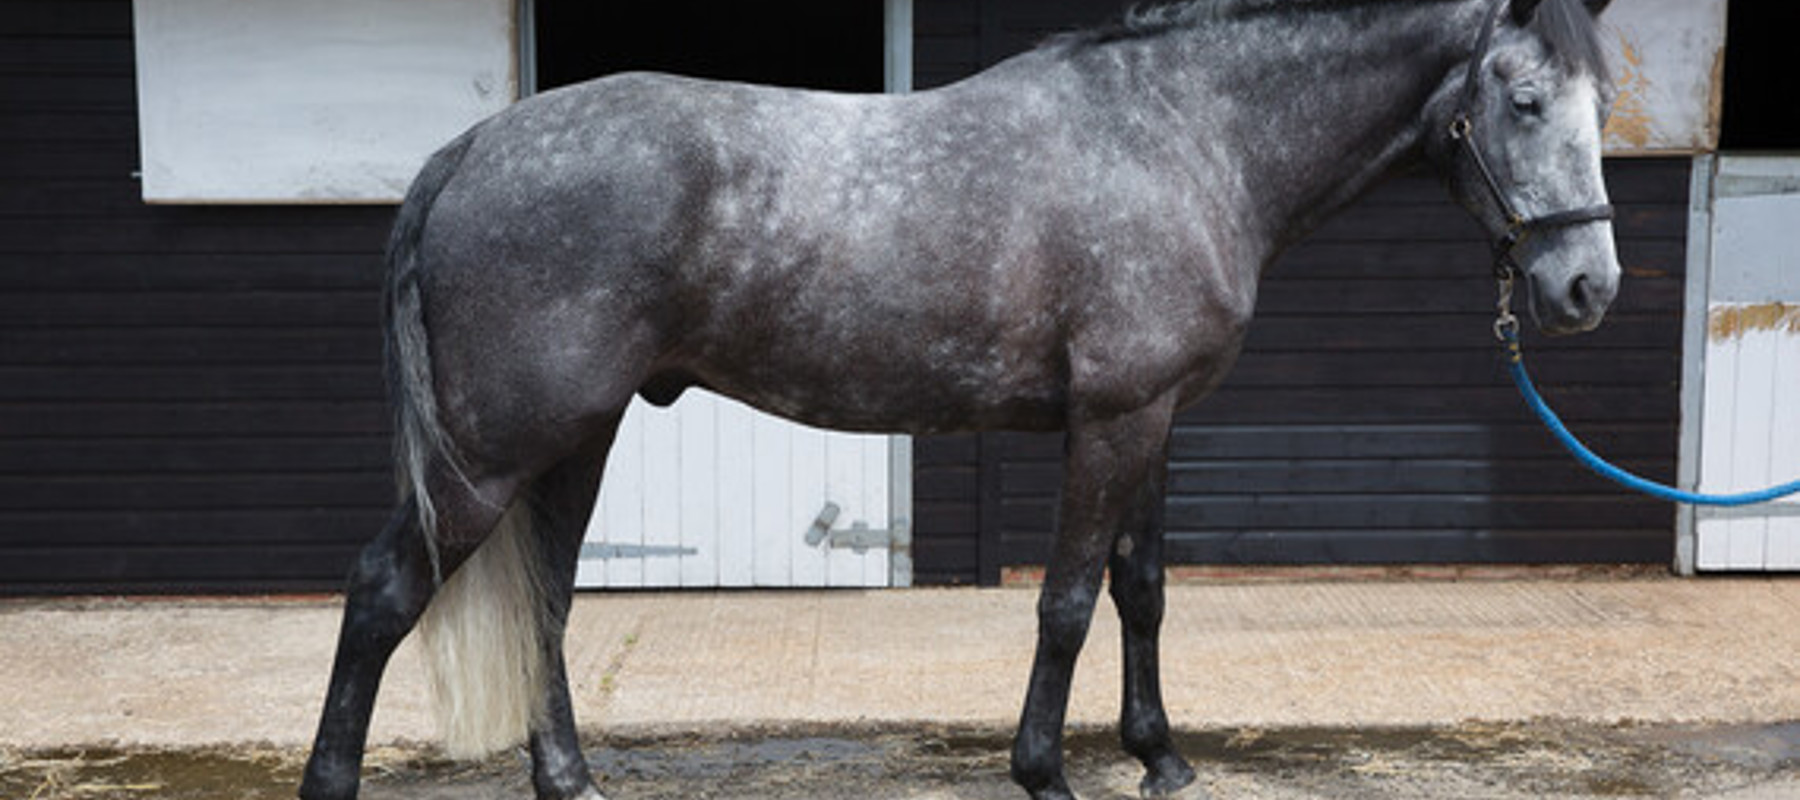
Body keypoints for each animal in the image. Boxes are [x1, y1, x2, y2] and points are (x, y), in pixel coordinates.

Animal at [300, 0, 1619, 797]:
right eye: (1522, 99)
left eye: (1606, 104)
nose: (1586, 286)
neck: (1185, 135)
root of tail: (471, 149)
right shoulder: (1114, 420)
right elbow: (1069, 602)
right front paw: (1047, 767)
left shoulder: (1158, 419)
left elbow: (1144, 589)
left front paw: (1162, 756)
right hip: (493, 453)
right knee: (384, 590)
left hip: (575, 437)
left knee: (548, 595)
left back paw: (568, 775)